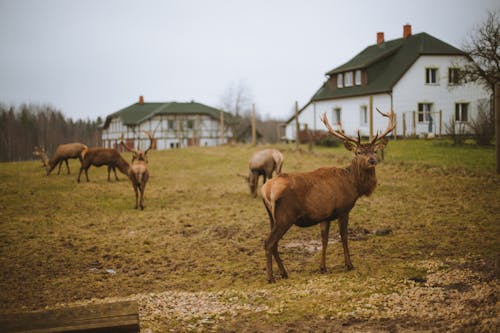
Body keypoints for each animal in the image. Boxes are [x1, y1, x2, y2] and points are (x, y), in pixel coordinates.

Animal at [262, 109, 394, 282]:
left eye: (375, 151)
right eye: (358, 152)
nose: (372, 161)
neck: (354, 185)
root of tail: (266, 190)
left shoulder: (325, 216)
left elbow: (324, 241)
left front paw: (323, 267)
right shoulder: (343, 209)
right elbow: (343, 237)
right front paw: (349, 265)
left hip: (273, 218)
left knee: (274, 243)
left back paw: (284, 273)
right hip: (285, 216)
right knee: (269, 242)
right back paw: (271, 277)